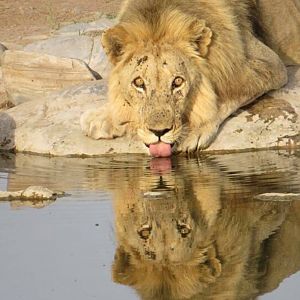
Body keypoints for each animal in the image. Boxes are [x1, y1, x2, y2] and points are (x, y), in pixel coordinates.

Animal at [80, 0, 300, 155]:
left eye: (177, 82)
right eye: (139, 82)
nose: (158, 133)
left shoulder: (270, 63)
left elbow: (228, 93)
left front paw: (196, 130)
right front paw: (103, 117)